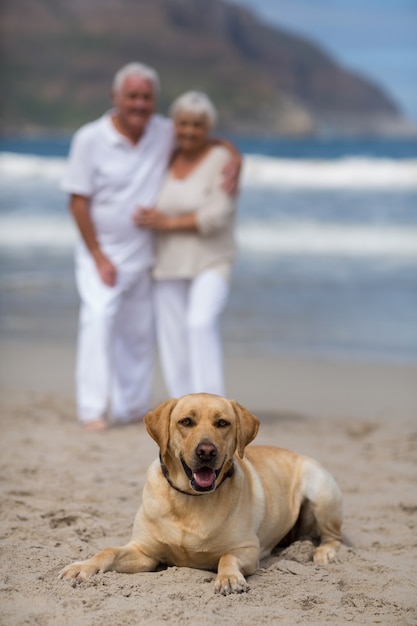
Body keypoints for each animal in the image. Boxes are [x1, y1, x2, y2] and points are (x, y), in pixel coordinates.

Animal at [59, 392, 342, 592]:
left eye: (222, 423)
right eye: (186, 422)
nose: (206, 451)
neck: (190, 500)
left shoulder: (248, 549)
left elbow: (227, 556)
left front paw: (228, 578)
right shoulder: (144, 553)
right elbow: (107, 551)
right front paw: (82, 566)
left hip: (320, 490)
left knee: (333, 536)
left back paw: (324, 552)